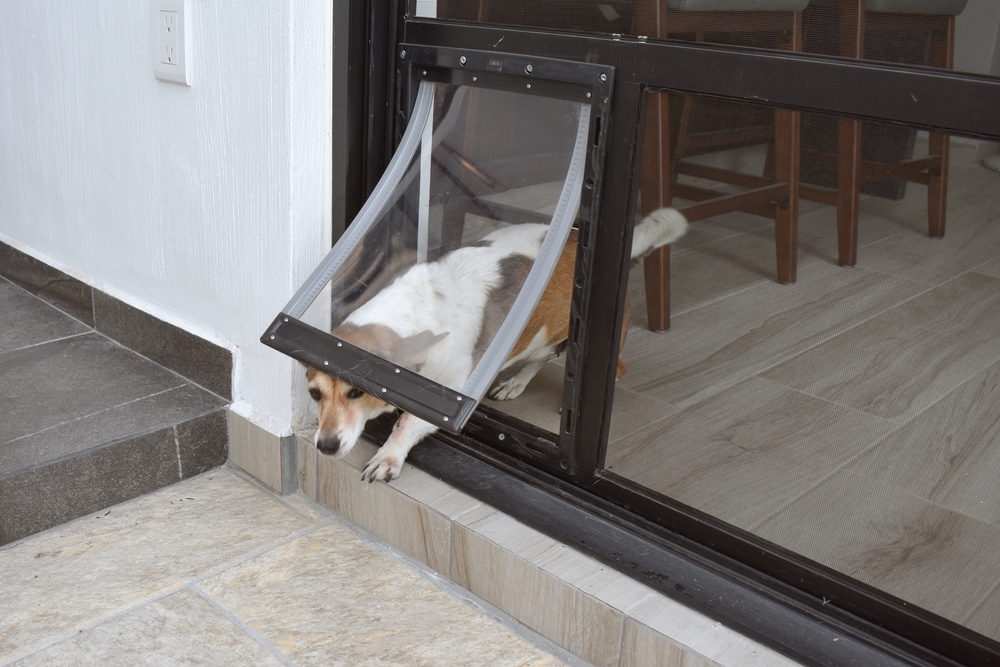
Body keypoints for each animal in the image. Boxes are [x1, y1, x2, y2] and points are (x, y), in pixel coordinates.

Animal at [306, 207, 688, 480]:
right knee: (539, 356)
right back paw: (515, 383)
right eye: (314, 394)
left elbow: (409, 423)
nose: (325, 446)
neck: (417, 312)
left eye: (356, 392)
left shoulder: (453, 391)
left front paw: (388, 456)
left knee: (612, 369)